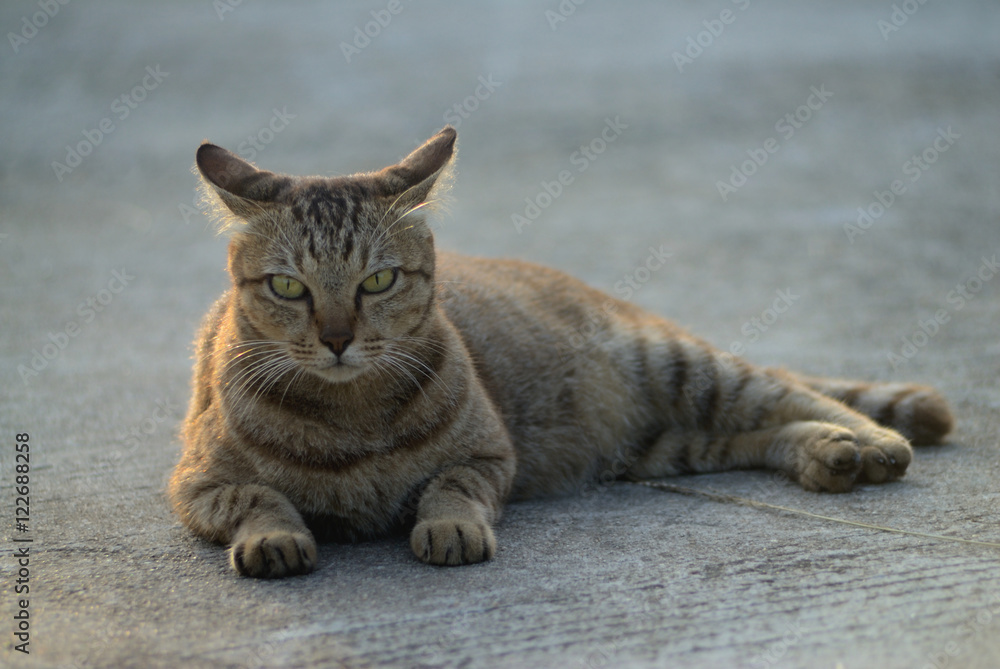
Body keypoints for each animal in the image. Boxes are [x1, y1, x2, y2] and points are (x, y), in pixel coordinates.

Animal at [170, 128, 952, 576]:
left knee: (793, 390)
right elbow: (257, 495)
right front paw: (274, 536)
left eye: (379, 280)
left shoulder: (492, 455)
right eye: (287, 286)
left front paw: (448, 525)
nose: (337, 339)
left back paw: (874, 442)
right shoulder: (194, 483)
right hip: (664, 446)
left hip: (684, 370)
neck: (350, 415)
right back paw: (827, 454)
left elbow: (450, 486)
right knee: (755, 434)